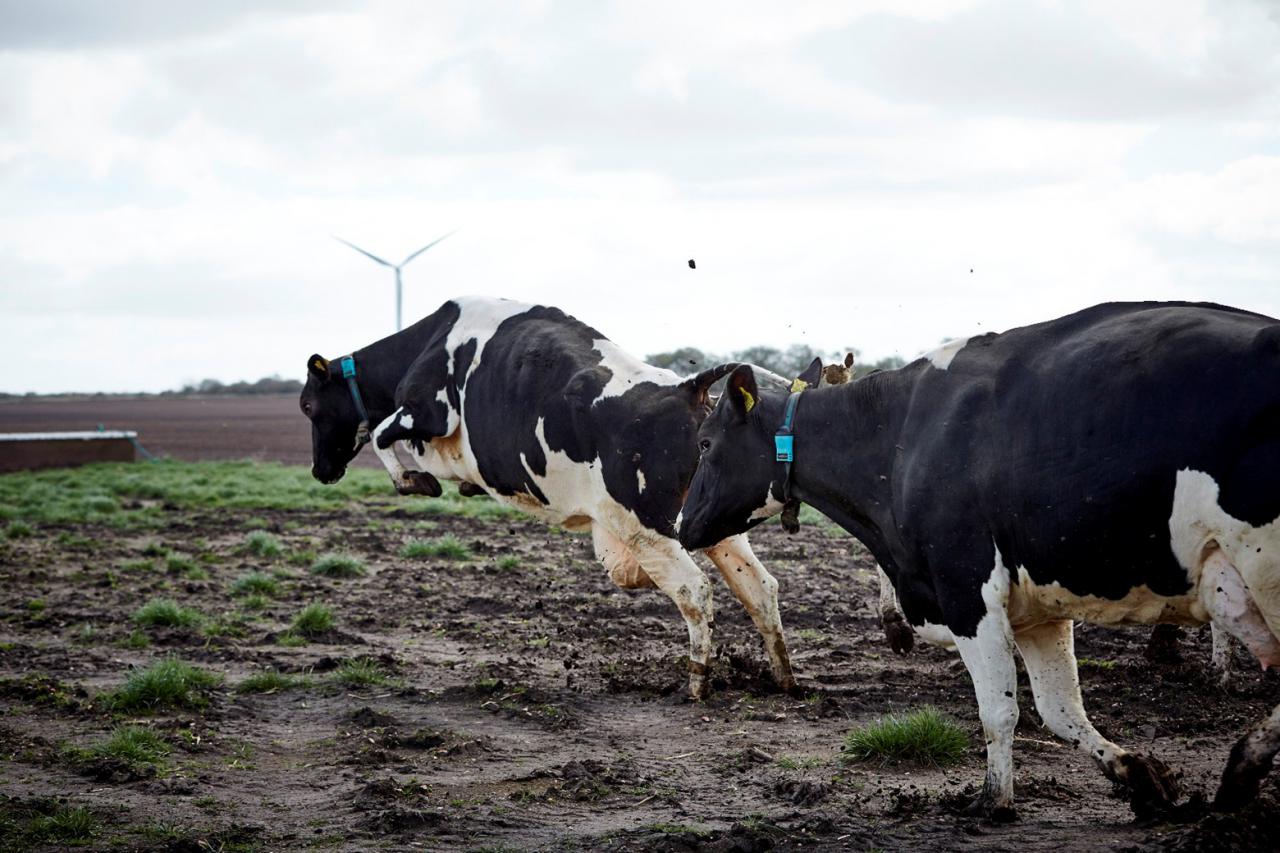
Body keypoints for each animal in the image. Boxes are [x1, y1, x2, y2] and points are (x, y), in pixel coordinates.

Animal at [303, 295, 793, 696]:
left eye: (308, 405)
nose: (319, 470)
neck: (428, 342)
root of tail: (684, 388)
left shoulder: (426, 412)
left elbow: (381, 433)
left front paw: (412, 480)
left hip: (645, 526)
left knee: (695, 590)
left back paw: (697, 683)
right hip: (710, 521)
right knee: (760, 587)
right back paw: (783, 677)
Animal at [686, 303, 1280, 819]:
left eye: (705, 443)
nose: (681, 522)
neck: (899, 439)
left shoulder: (965, 590)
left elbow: (999, 709)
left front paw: (993, 800)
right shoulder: (1040, 610)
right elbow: (1061, 710)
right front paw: (1141, 778)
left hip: (1263, 570)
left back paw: (1240, 774)